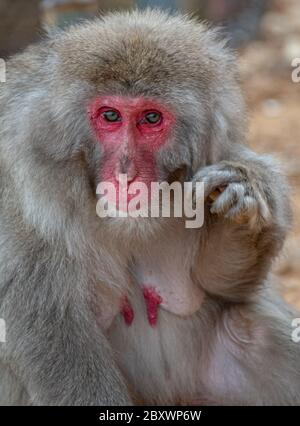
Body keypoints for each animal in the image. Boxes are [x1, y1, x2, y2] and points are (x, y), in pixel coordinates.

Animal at [0, 8, 300, 404]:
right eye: (110, 116)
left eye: (151, 118)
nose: (125, 173)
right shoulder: (24, 229)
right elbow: (59, 350)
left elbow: (219, 285)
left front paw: (243, 205)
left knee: (251, 328)